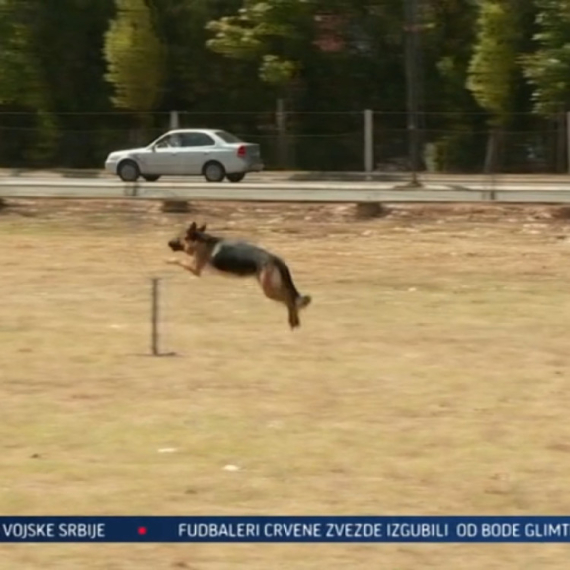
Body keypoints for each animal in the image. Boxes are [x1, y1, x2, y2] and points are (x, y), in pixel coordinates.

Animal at [165, 222, 310, 328]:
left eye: (178, 237)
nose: (168, 242)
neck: (201, 241)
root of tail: (275, 258)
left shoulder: (195, 269)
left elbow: (177, 260)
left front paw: (167, 260)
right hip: (273, 285)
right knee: (290, 296)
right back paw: (295, 321)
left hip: (269, 289)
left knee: (289, 299)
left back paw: (293, 321)